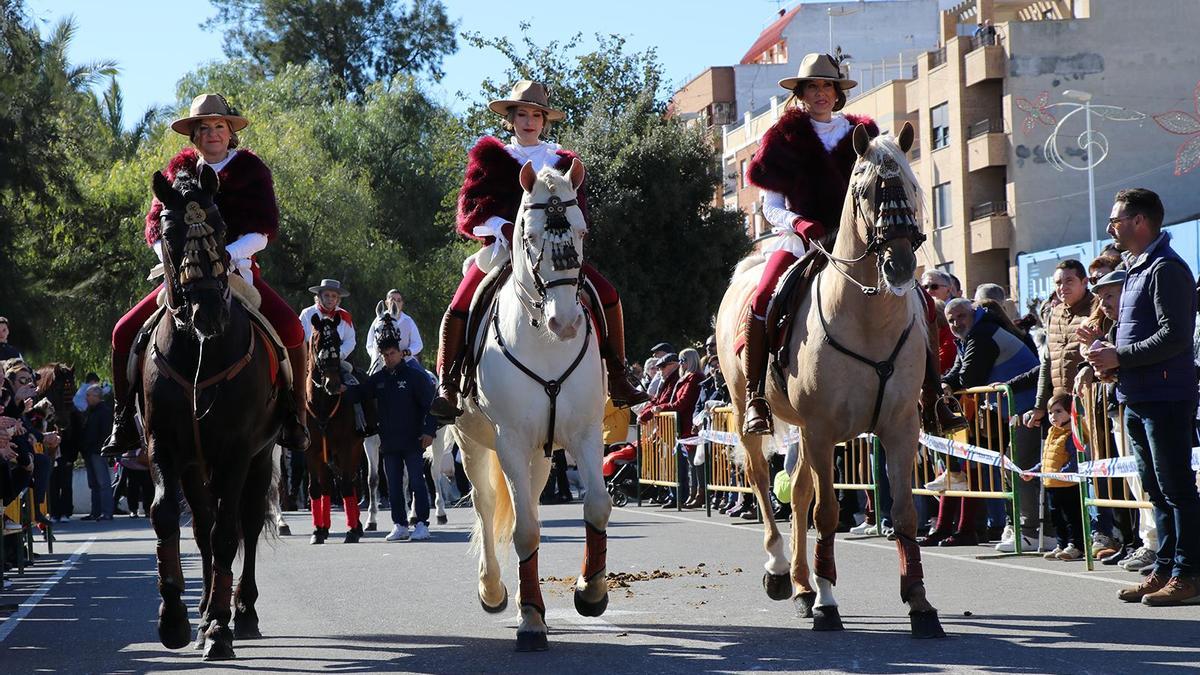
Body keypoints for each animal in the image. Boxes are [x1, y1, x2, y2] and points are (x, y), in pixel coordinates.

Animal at [141, 165, 284, 658]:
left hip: (261, 457)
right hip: (195, 466)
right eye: (169, 232)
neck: (198, 352)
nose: (206, 314)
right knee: (202, 527)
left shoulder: (238, 452)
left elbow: (228, 533)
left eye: (220, 229)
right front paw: (174, 619)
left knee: (247, 521)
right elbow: (167, 516)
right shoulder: (163, 446)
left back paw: (243, 612)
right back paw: (203, 611)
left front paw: (222, 628)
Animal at [304, 314, 364, 540]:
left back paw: (357, 525)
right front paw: (318, 530)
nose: (333, 384)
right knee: (328, 486)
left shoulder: (347, 446)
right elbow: (316, 488)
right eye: (317, 343)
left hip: (355, 449)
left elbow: (346, 485)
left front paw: (352, 531)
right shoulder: (312, 451)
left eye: (338, 342)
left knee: (352, 482)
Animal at [453, 156, 614, 648]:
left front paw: (591, 592)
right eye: (528, 235)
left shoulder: (585, 433)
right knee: (487, 506)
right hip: (473, 445)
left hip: (543, 456)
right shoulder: (509, 441)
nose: (566, 322)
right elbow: (524, 529)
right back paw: (492, 589)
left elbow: (597, 506)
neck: (544, 340)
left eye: (581, 231)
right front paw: (530, 618)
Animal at [715, 124, 940, 634]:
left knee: (796, 493)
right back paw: (781, 570)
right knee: (764, 481)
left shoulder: (900, 427)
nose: (899, 265)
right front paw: (827, 601)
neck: (868, 317)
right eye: (863, 188)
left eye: (911, 184)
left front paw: (919, 601)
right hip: (749, 412)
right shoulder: (821, 430)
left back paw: (801, 586)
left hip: (805, 431)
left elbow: (903, 513)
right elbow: (829, 512)